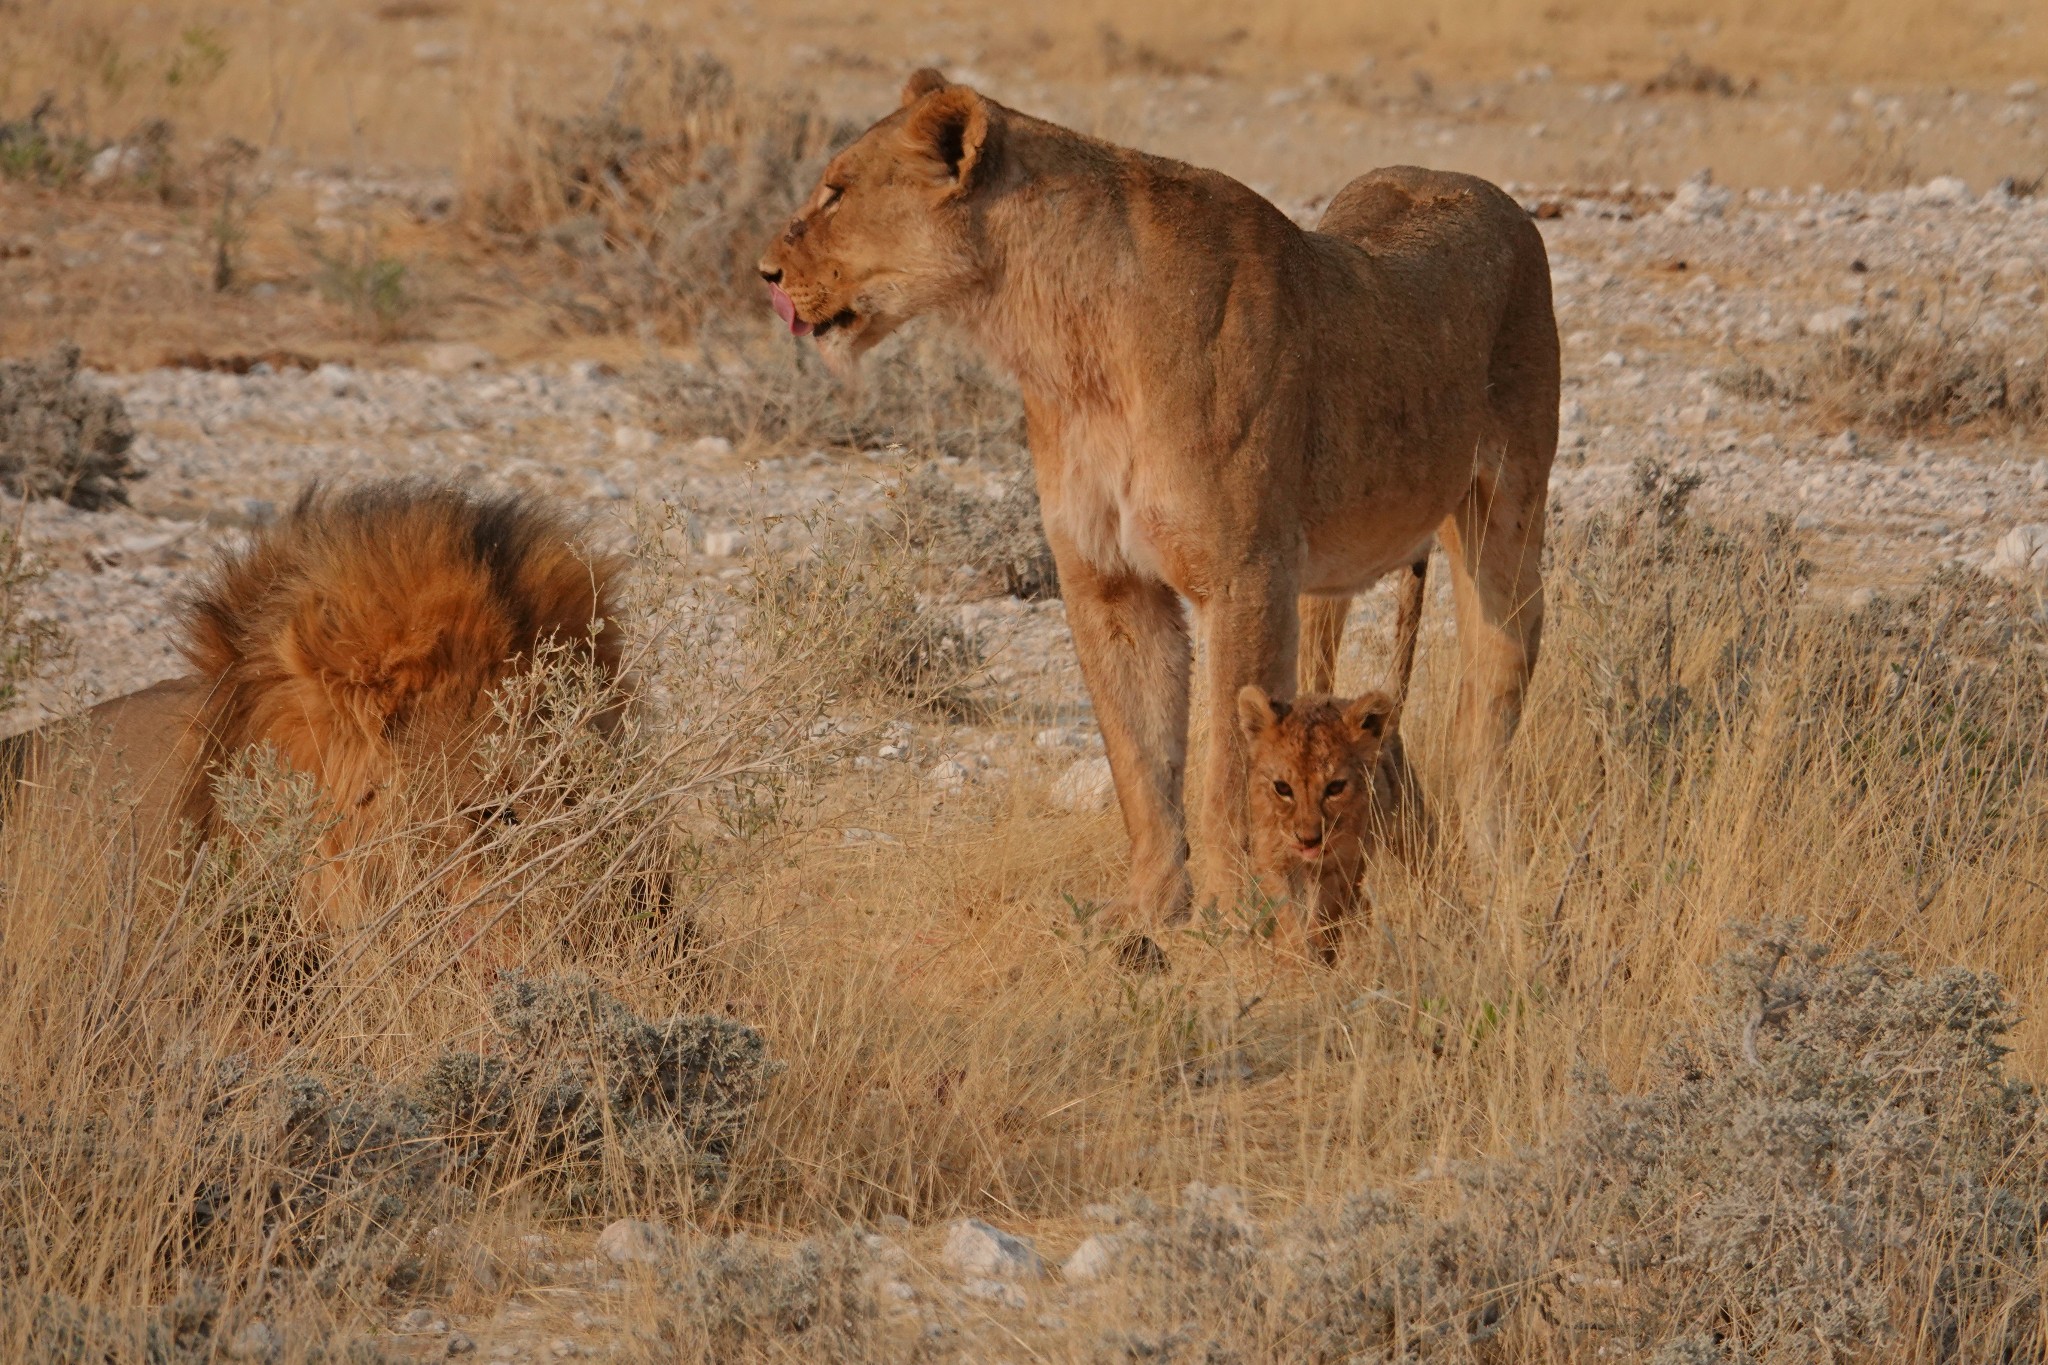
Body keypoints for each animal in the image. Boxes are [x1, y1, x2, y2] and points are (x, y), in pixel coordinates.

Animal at [761, 69, 1556, 933]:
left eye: (837, 191)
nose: (765, 272)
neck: (1065, 342)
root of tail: (1487, 191)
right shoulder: (1111, 581)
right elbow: (1140, 759)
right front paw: (1149, 907)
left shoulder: (1244, 577)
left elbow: (1230, 767)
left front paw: (1234, 907)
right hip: (1323, 580)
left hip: (1505, 527)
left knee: (1490, 707)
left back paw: (1493, 868)